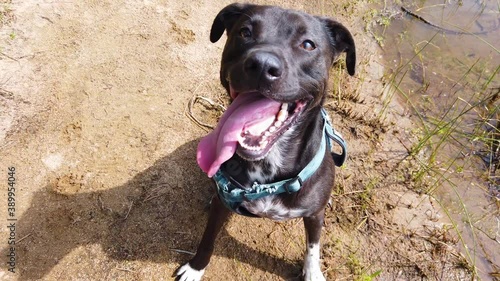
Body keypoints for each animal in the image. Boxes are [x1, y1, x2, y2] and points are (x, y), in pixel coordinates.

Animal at [176, 2, 356, 280]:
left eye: (308, 44)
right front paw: (196, 268)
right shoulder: (221, 206)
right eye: (245, 32)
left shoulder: (314, 214)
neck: (267, 172)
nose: (261, 65)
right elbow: (208, 238)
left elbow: (313, 246)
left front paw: (312, 272)